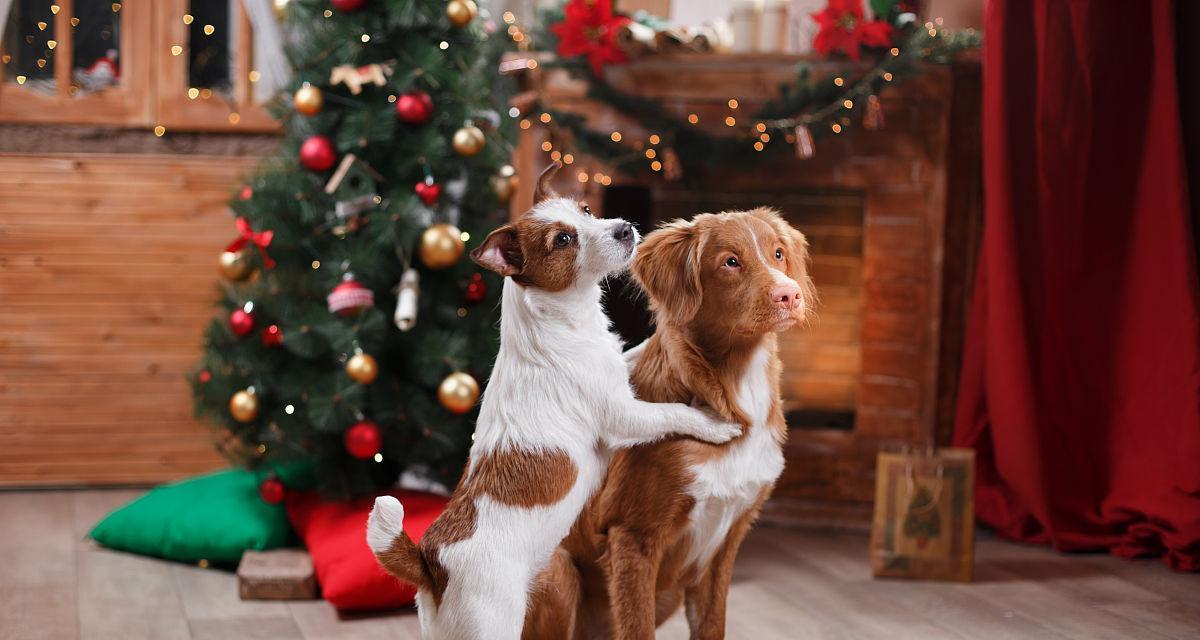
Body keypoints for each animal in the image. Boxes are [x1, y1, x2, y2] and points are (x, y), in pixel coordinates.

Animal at [364, 165, 739, 638]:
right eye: (563, 240)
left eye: (586, 210)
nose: (624, 228)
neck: (555, 320)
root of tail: (432, 563)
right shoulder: (625, 416)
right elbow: (674, 412)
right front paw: (715, 424)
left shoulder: (619, 368)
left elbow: (634, 355)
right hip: (495, 622)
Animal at [525, 206, 816, 633]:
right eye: (730, 262)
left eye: (778, 253)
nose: (789, 294)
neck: (728, 387)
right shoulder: (632, 535)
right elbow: (637, 628)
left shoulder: (724, 544)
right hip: (558, 569)